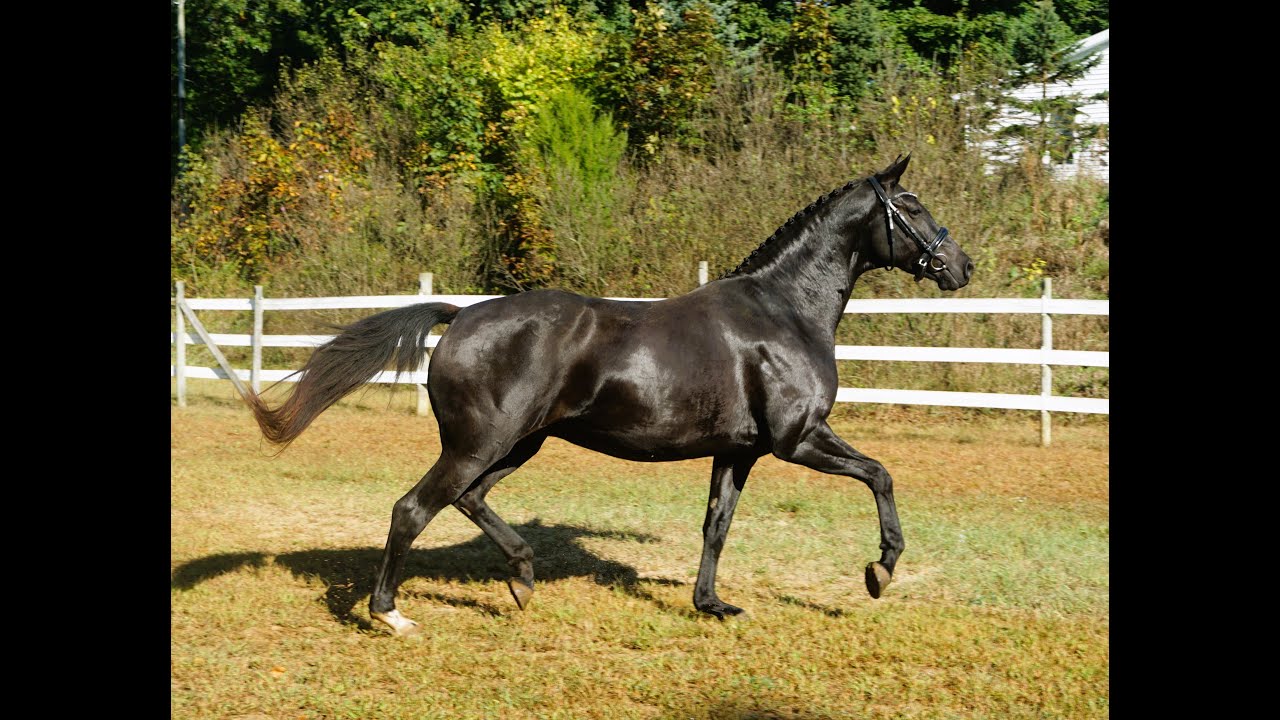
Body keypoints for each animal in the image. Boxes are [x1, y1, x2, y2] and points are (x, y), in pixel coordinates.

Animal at [248, 154, 974, 636]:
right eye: (911, 209)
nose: (961, 266)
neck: (783, 312)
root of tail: (461, 316)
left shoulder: (740, 451)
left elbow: (716, 525)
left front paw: (710, 605)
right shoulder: (798, 440)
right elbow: (880, 475)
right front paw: (880, 570)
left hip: (517, 444)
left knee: (466, 499)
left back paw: (522, 578)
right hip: (483, 442)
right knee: (414, 507)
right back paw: (392, 614)